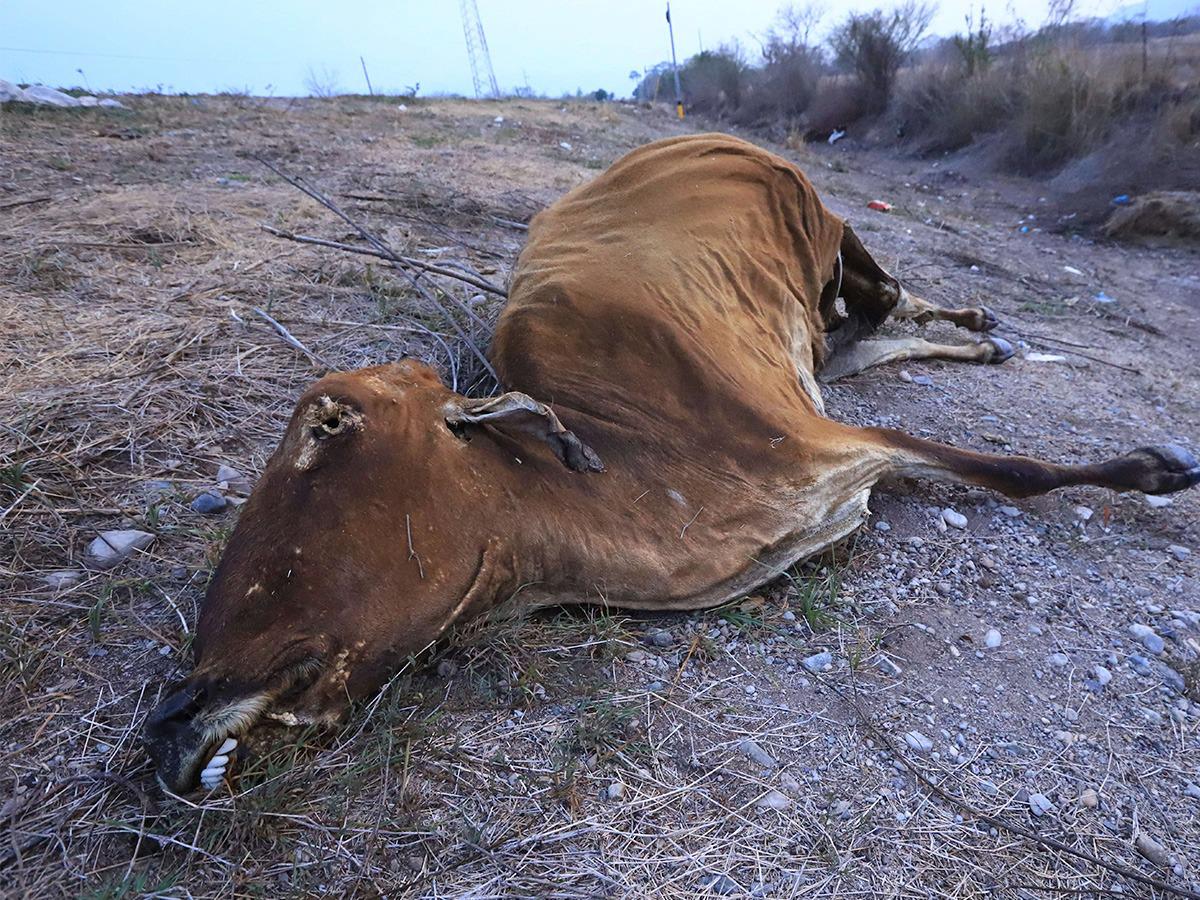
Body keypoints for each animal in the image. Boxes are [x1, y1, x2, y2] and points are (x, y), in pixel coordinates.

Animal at [145, 134, 1198, 793]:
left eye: (329, 423)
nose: (174, 715)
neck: (635, 460)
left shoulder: (827, 442)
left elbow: (1018, 470)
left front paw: (1159, 467)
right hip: (812, 309)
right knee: (869, 331)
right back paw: (978, 338)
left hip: (817, 218)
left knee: (886, 290)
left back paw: (979, 324)